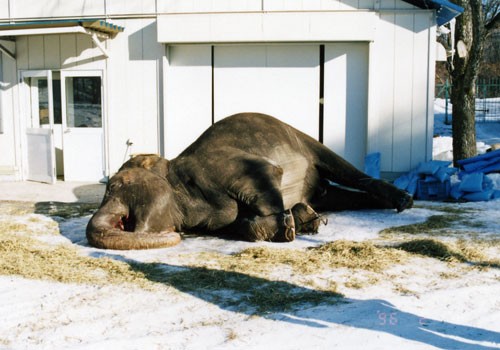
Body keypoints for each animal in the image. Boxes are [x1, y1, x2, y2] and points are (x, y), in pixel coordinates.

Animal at [87, 113, 414, 250]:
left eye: (115, 185)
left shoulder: (218, 166)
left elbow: (268, 175)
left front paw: (291, 223)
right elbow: (237, 225)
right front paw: (302, 220)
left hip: (305, 141)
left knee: (344, 169)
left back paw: (404, 200)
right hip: (324, 189)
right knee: (337, 195)